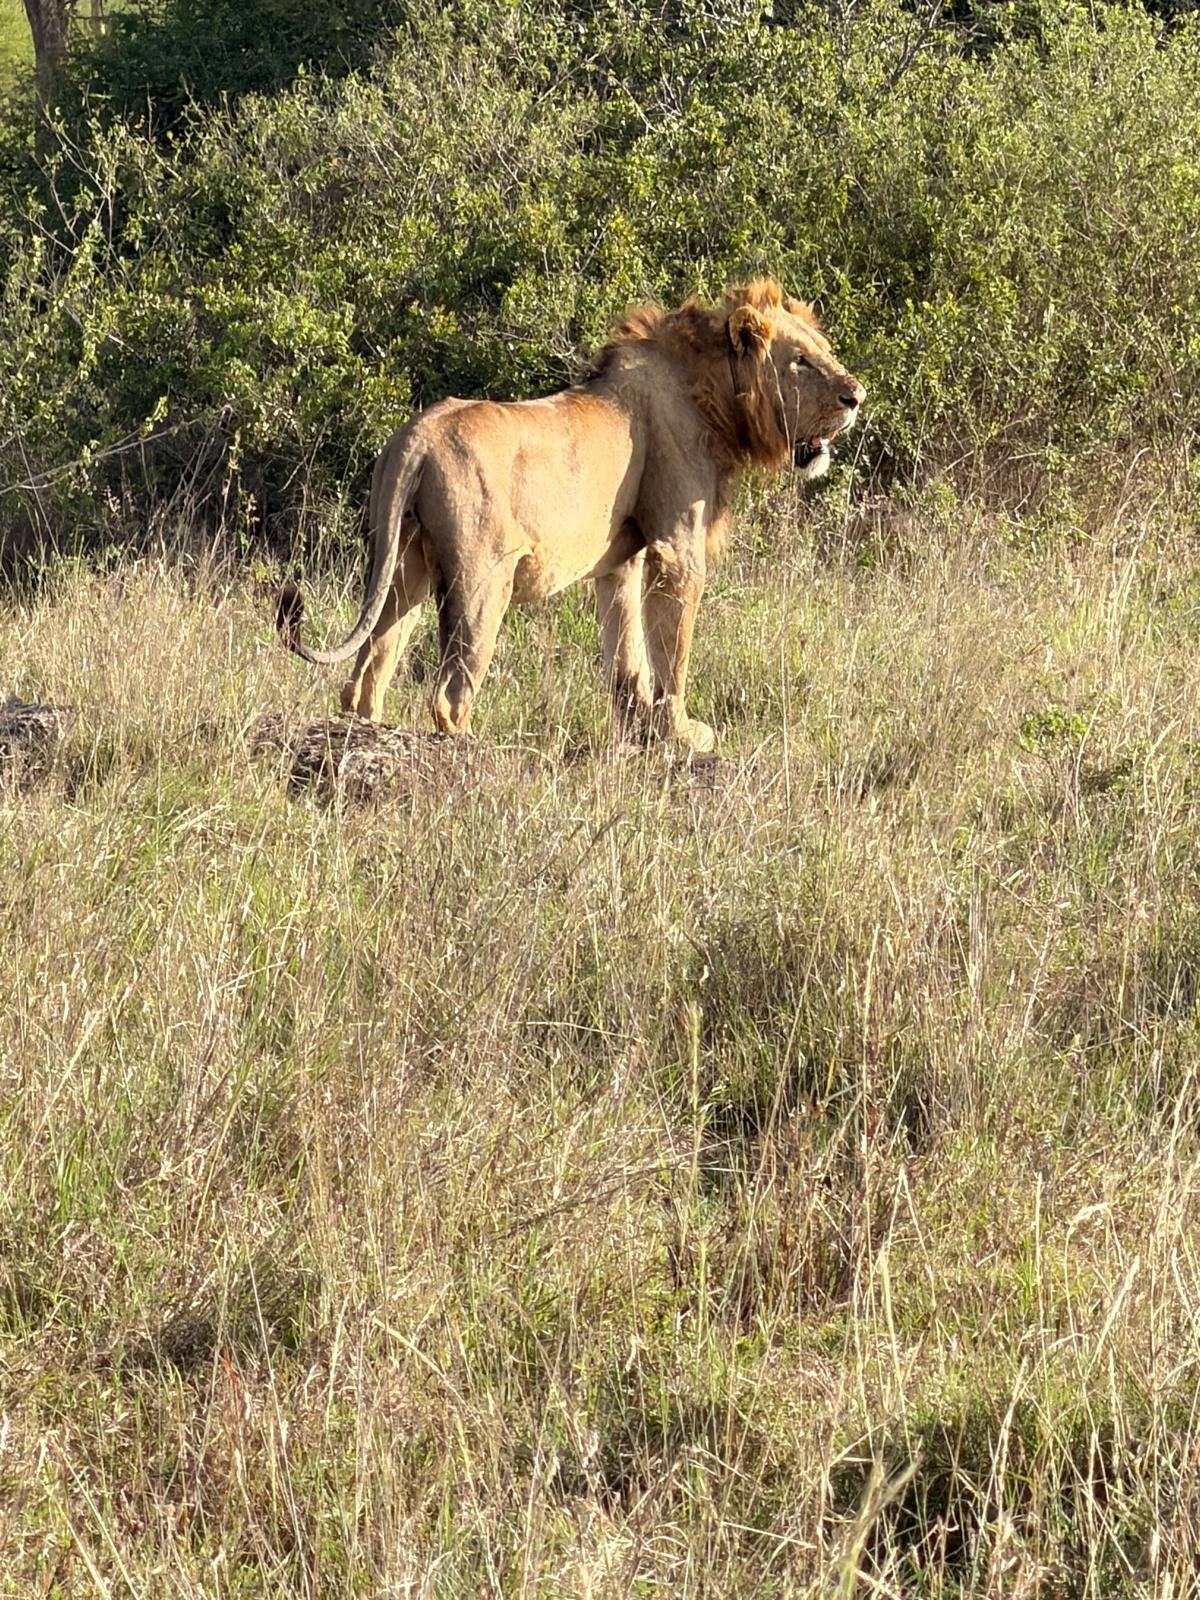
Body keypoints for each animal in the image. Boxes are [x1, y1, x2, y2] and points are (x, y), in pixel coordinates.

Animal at [279, 278, 864, 752]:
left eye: (825, 350)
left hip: (404, 567)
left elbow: (627, 651)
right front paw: (680, 733)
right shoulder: (677, 546)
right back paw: (481, 754)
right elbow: (671, 649)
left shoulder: (623, 557)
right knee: (448, 695)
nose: (856, 396)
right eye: (801, 361)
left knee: (365, 678)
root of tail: (416, 436)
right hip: (481, 579)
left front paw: (638, 732)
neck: (715, 394)